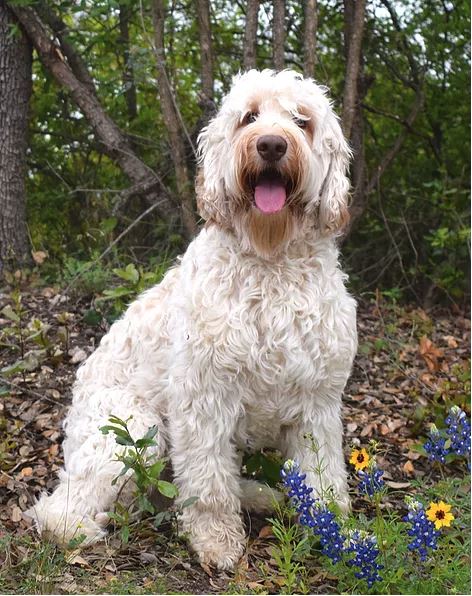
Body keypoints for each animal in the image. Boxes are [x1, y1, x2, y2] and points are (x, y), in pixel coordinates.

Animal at [29, 68, 358, 568]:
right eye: (249, 117)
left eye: (303, 121)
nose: (271, 145)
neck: (271, 262)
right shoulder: (203, 397)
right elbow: (207, 483)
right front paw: (216, 540)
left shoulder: (316, 401)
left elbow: (324, 477)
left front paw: (337, 535)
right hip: (132, 430)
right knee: (60, 505)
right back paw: (75, 529)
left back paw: (260, 495)